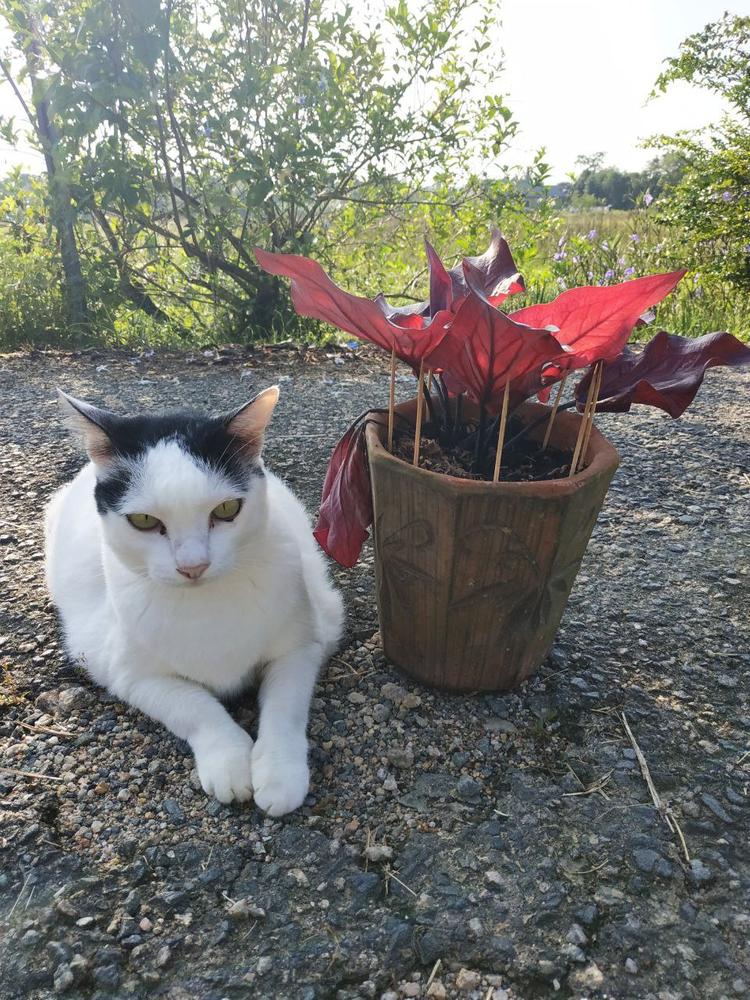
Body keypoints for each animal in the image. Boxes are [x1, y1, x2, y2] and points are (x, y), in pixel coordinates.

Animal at [48, 386, 348, 816]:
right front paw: (230, 760)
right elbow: (194, 706)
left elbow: (285, 706)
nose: (193, 566)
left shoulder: (303, 645)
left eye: (226, 509)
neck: (206, 604)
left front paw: (279, 773)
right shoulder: (127, 675)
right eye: (143, 521)